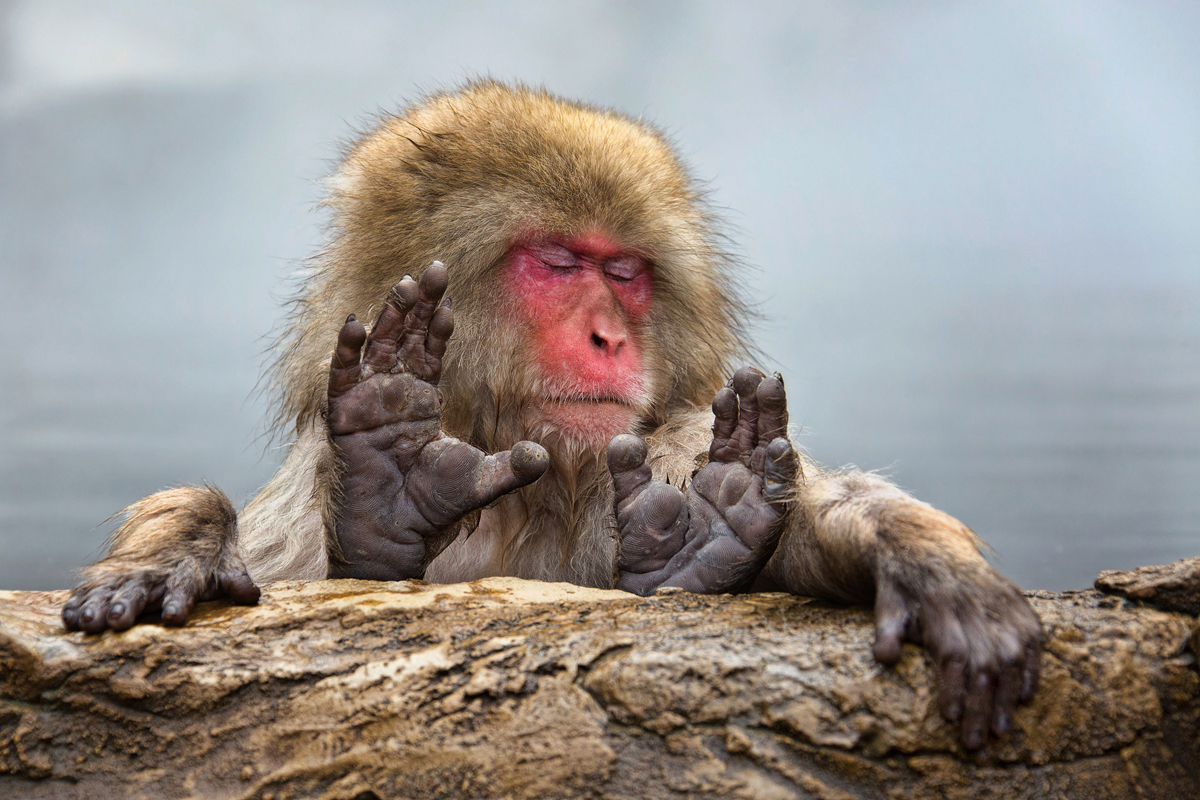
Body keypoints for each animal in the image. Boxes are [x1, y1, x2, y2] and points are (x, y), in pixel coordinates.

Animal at [63, 81, 1041, 753]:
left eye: (626, 272)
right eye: (561, 262)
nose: (610, 336)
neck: (526, 484)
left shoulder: (673, 441)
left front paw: (913, 552)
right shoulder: (305, 498)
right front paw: (212, 533)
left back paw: (702, 552)